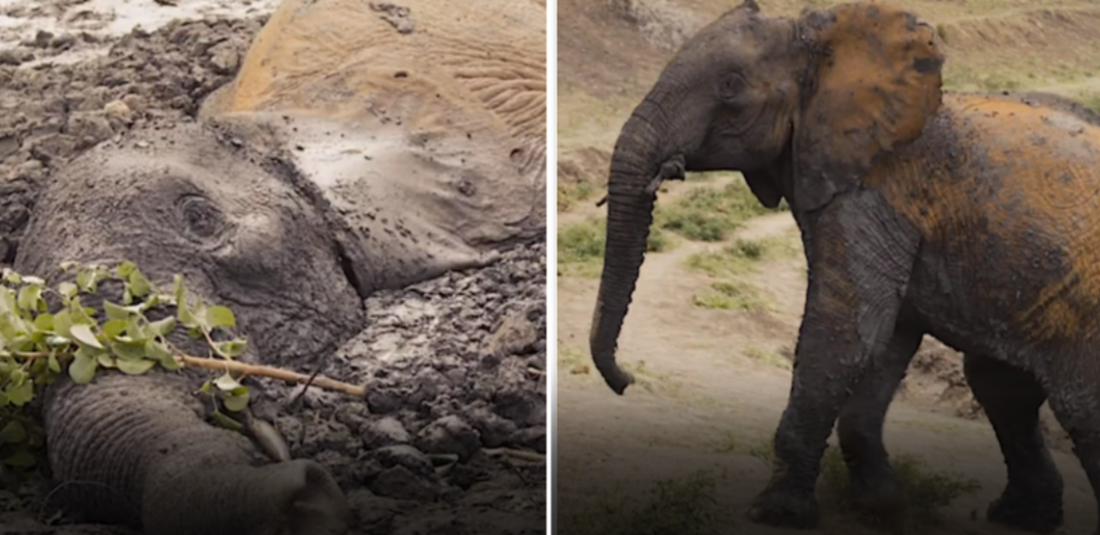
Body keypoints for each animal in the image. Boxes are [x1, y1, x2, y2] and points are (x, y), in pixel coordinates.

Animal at [589, 1, 1100, 535]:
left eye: (729, 86)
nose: (627, 381)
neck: (825, 47)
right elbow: (883, 340)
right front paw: (881, 505)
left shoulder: (873, 192)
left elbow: (844, 335)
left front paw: (776, 513)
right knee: (1001, 388)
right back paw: (1019, 517)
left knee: (1076, 408)